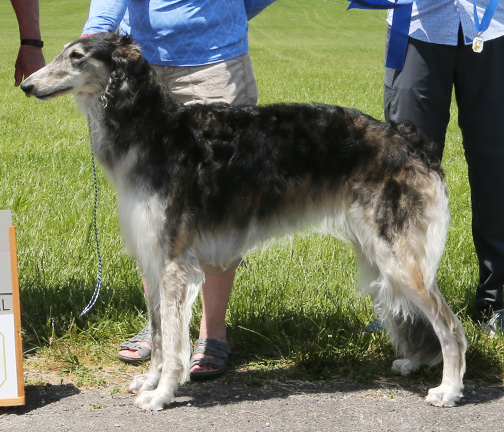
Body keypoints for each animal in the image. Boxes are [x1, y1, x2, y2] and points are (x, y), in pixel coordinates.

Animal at [22, 32, 464, 410]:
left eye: (77, 56)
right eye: (63, 52)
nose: (25, 85)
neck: (153, 130)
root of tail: (407, 139)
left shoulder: (173, 262)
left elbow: (173, 342)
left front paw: (161, 394)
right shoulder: (151, 255)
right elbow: (160, 337)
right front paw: (149, 382)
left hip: (398, 255)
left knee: (451, 326)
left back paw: (448, 389)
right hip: (378, 251)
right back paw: (416, 362)